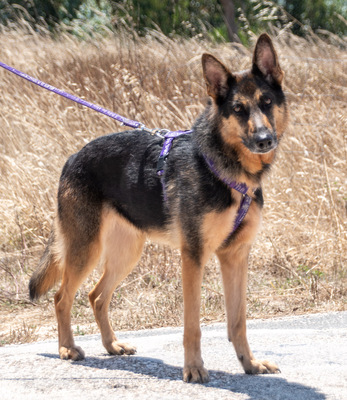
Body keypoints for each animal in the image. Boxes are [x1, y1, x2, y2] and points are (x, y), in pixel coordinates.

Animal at [29, 34, 290, 384]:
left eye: (266, 102)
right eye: (238, 109)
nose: (264, 140)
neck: (228, 168)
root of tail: (72, 157)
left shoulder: (235, 256)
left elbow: (238, 321)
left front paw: (249, 364)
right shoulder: (193, 256)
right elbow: (192, 324)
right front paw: (194, 369)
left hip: (127, 253)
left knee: (96, 296)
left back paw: (111, 345)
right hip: (86, 250)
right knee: (62, 297)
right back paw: (67, 348)